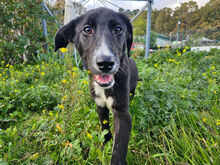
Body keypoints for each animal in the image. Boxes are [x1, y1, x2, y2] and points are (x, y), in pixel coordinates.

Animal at [54, 7, 138, 164]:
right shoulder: (100, 106)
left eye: (118, 29)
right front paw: (105, 145)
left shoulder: (123, 114)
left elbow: (118, 151)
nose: (105, 63)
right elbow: (105, 129)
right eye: (87, 29)